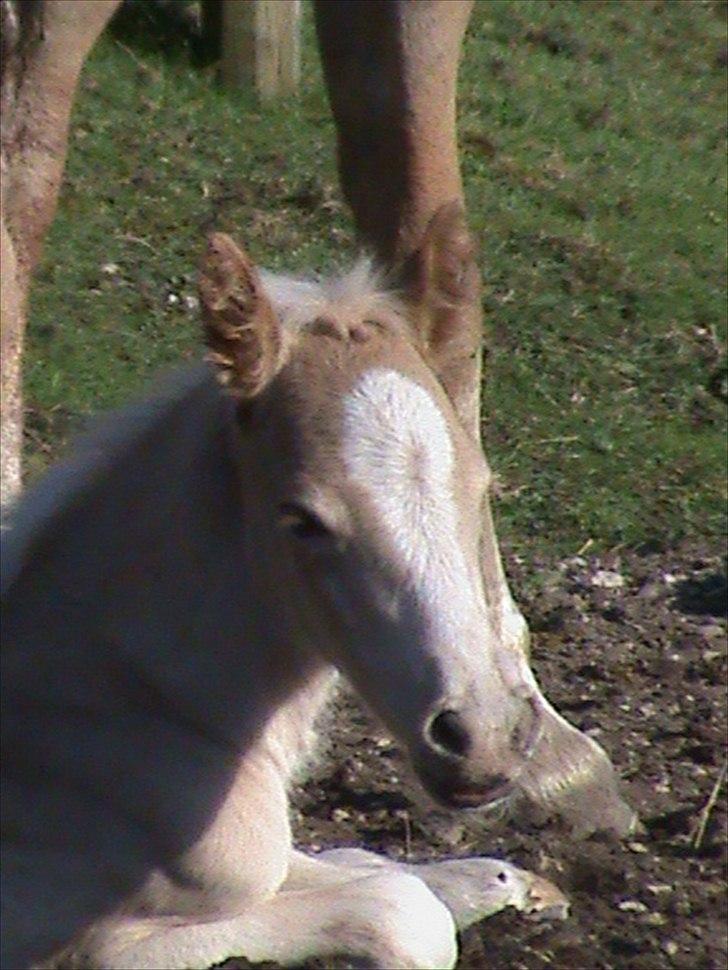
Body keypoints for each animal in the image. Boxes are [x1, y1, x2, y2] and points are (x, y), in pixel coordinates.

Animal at [0, 210, 632, 968]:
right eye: (301, 519)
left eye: (482, 484)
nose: (486, 739)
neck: (119, 705)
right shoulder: (94, 945)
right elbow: (403, 908)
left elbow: (368, 863)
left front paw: (516, 884)